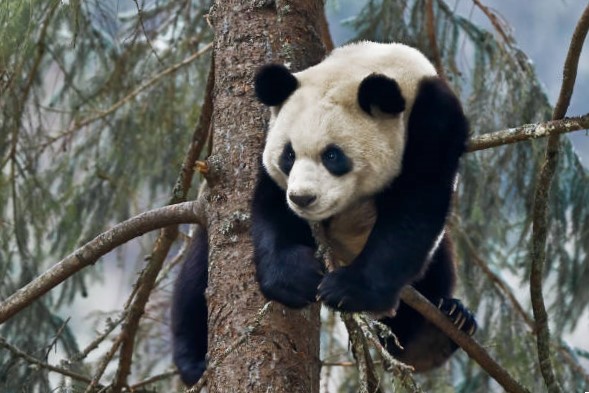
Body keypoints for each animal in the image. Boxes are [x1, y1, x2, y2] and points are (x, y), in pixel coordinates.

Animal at [172, 41, 476, 384]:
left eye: (333, 155)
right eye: (288, 155)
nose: (303, 198)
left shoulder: (435, 123)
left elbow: (415, 211)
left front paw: (347, 290)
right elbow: (271, 206)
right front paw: (294, 277)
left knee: (436, 268)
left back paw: (441, 327)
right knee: (195, 281)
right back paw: (195, 361)